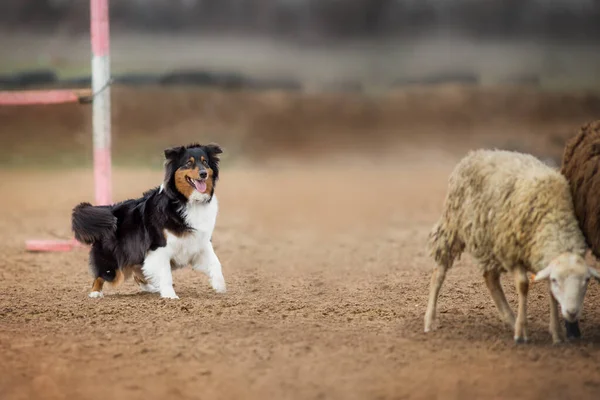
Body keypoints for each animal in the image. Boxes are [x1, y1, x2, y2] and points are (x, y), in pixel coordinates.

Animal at [71, 142, 226, 298]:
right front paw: (170, 296)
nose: (203, 173)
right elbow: (165, 274)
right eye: (189, 163)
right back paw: (95, 293)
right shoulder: (159, 247)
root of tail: (111, 209)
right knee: (102, 275)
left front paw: (221, 288)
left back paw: (152, 288)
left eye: (205, 162)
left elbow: (216, 263)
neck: (187, 201)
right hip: (115, 265)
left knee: (138, 274)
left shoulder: (200, 241)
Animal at [424, 148, 596, 342]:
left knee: (490, 278)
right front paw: (522, 332)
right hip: (453, 224)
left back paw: (510, 319)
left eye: (586, 281)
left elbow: (550, 293)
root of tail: (475, 153)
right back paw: (430, 320)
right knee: (439, 271)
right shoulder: (512, 253)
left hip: (489, 239)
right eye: (556, 280)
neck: (553, 219)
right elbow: (523, 284)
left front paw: (557, 333)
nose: (572, 313)